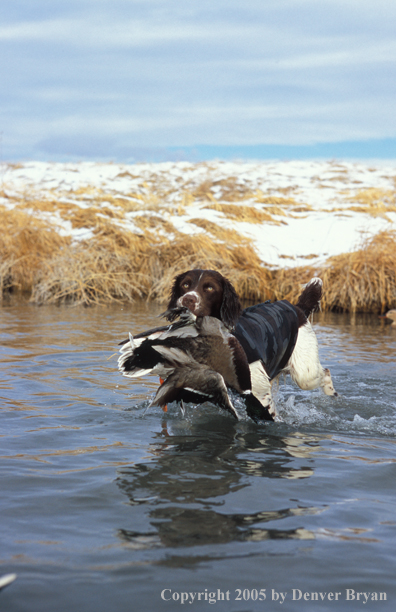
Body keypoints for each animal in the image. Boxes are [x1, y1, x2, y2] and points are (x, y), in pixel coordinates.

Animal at [167, 270, 338, 418]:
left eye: (209, 288)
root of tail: (297, 308)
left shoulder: (258, 389)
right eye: (185, 285)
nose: (187, 300)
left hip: (304, 373)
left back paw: (332, 394)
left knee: (325, 373)